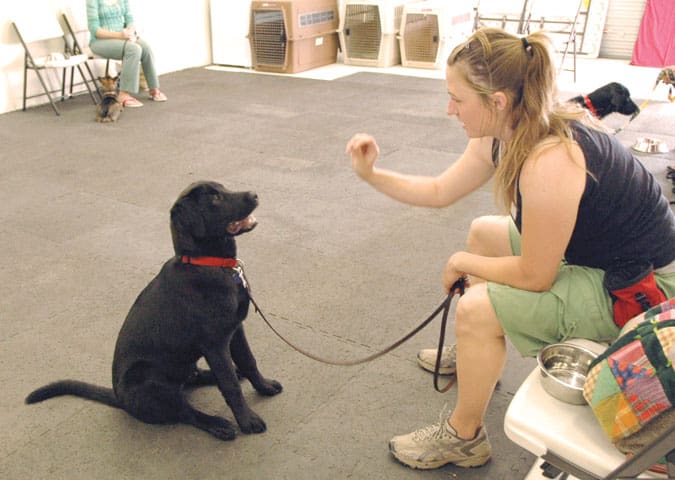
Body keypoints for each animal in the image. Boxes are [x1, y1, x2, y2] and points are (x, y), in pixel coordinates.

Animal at [25, 182, 282, 440]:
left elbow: (248, 360)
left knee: (191, 380)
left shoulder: (236, 329)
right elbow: (229, 385)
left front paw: (264, 386)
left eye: (224, 188)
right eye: (215, 198)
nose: (254, 195)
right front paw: (247, 421)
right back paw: (217, 424)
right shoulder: (215, 343)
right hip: (148, 377)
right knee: (183, 410)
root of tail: (120, 399)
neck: (208, 264)